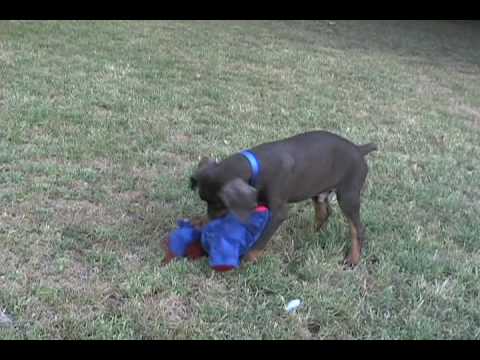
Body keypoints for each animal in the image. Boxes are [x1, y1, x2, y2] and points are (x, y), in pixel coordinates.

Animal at [189, 131, 376, 268]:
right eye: (205, 201)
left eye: (220, 203)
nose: (210, 222)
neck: (256, 166)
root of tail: (359, 149)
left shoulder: (278, 213)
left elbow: (261, 239)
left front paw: (247, 258)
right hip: (319, 191)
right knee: (324, 212)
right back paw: (311, 234)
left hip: (348, 195)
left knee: (357, 229)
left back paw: (353, 259)